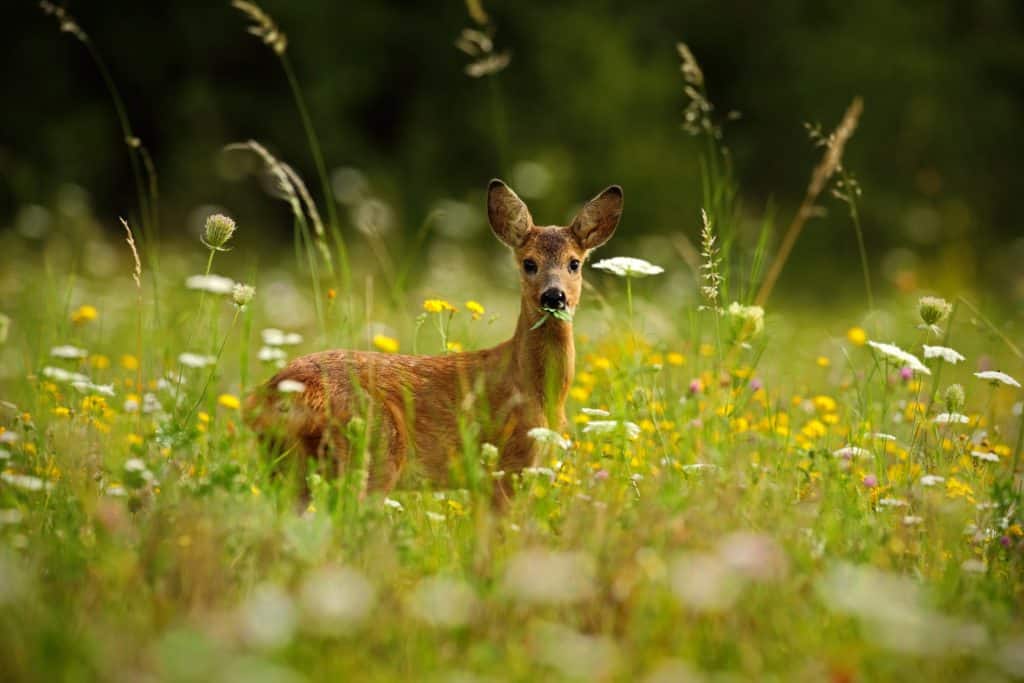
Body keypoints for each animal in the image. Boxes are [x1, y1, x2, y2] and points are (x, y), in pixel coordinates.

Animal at [245, 179, 622, 505]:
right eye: (529, 263)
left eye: (574, 263)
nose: (554, 296)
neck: (537, 390)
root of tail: (273, 394)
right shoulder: (507, 464)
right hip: (371, 451)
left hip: (288, 464)